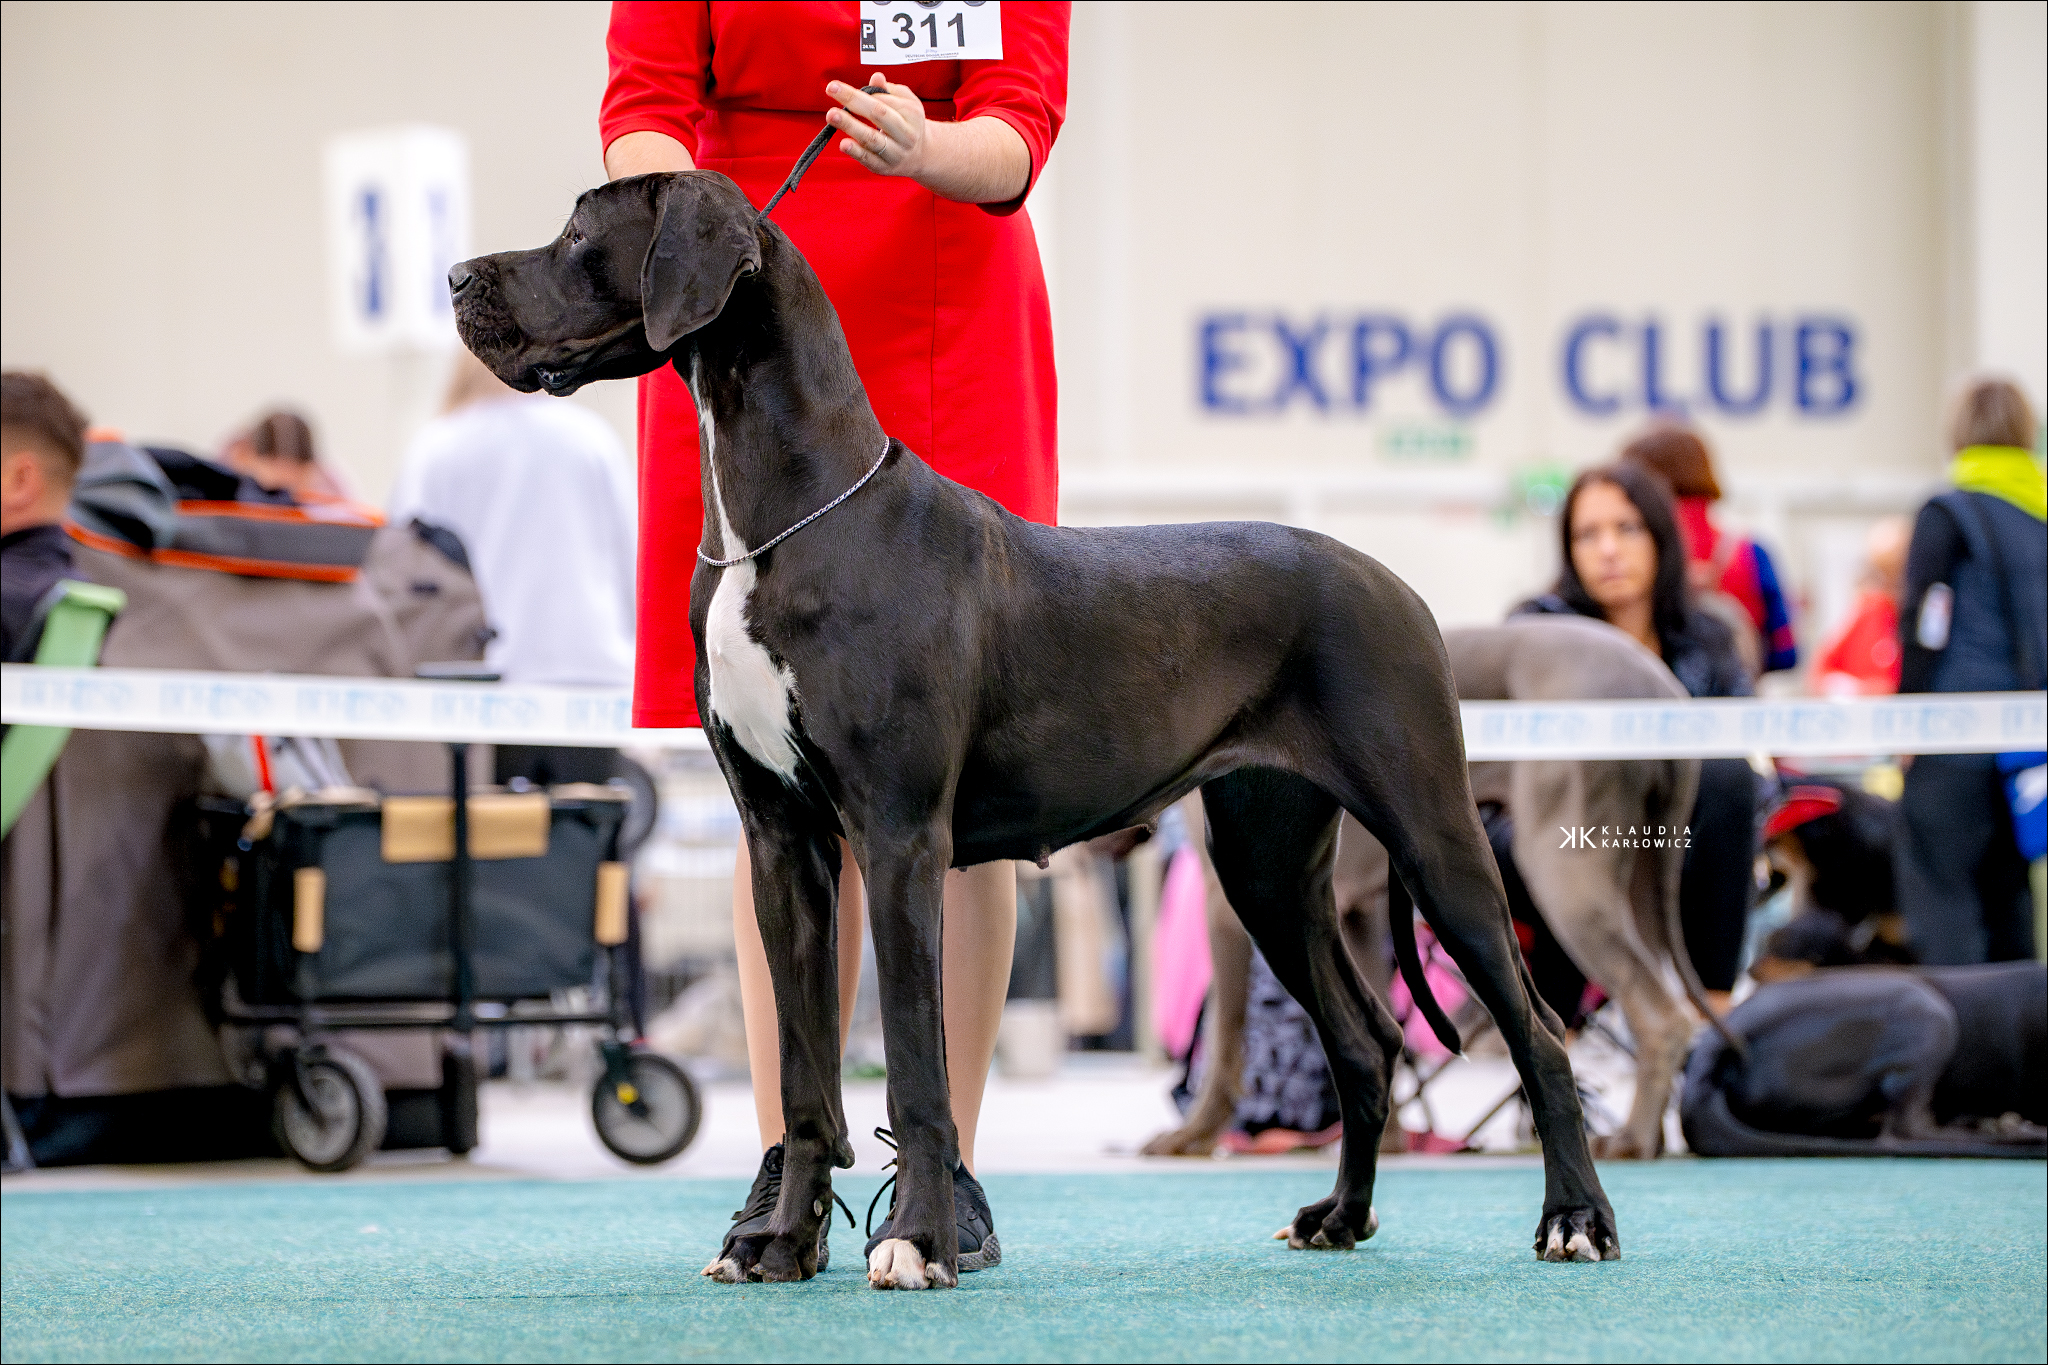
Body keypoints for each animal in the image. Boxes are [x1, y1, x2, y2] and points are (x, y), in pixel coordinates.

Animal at [450, 170, 1619, 1284]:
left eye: (577, 230)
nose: (457, 276)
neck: (784, 519)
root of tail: (1398, 584)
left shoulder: (899, 839)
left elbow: (916, 1067)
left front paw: (916, 1243)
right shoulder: (784, 845)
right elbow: (804, 1075)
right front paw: (780, 1245)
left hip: (1433, 835)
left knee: (1540, 1034)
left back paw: (1575, 1220)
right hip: (1267, 863)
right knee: (1365, 1042)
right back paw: (1339, 1217)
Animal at [1146, 617, 1724, 1161]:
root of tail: (1656, 682)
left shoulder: (1230, 900)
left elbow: (1225, 1030)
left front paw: (1194, 1135)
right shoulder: (1356, 912)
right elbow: (1377, 1021)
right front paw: (1389, 1139)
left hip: (1564, 870)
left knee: (1662, 1016)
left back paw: (1631, 1140)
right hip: (1642, 876)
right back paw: (1646, 1138)